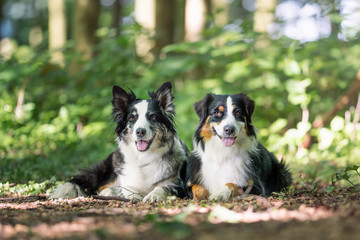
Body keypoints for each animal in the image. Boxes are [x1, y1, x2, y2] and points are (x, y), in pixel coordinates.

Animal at [53, 81, 190, 202]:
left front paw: (153, 195)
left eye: (153, 117)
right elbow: (126, 187)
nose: (140, 132)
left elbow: (163, 187)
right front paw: (132, 195)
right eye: (131, 118)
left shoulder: (178, 184)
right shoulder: (123, 177)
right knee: (100, 187)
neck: (143, 157)